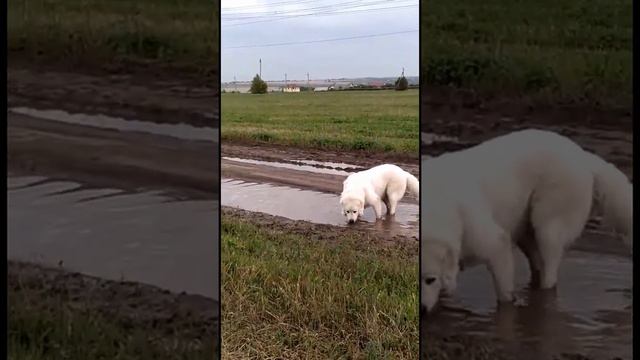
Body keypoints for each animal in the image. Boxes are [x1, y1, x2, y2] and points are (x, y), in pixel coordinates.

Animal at [422, 129, 632, 312]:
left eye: (430, 279)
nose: (422, 310)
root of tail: (582, 156)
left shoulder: (494, 243)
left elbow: (505, 295)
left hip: (549, 226)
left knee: (550, 276)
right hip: (526, 229)